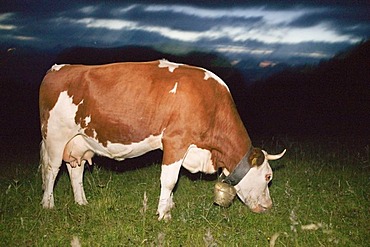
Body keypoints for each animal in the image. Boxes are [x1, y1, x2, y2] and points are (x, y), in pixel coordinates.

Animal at [39, 59, 286, 220]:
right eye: (268, 176)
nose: (269, 207)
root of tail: (58, 68)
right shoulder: (176, 141)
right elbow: (169, 180)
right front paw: (163, 214)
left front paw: (170, 206)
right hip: (54, 135)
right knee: (52, 169)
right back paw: (48, 205)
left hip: (79, 141)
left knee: (75, 171)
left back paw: (81, 202)